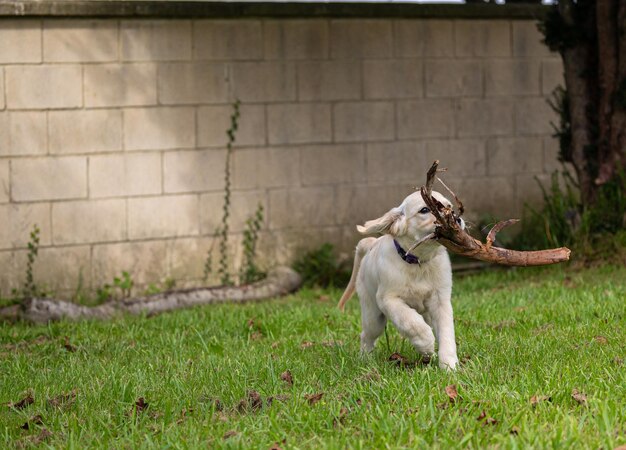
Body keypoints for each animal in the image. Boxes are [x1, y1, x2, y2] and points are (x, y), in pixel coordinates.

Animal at [338, 190, 460, 370]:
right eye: (425, 210)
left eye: (449, 206)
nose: (457, 219)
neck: (418, 263)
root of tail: (372, 244)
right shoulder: (388, 300)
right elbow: (411, 322)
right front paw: (426, 344)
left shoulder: (441, 301)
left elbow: (446, 333)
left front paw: (449, 366)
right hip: (373, 316)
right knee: (366, 335)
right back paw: (365, 359)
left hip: (427, 314)